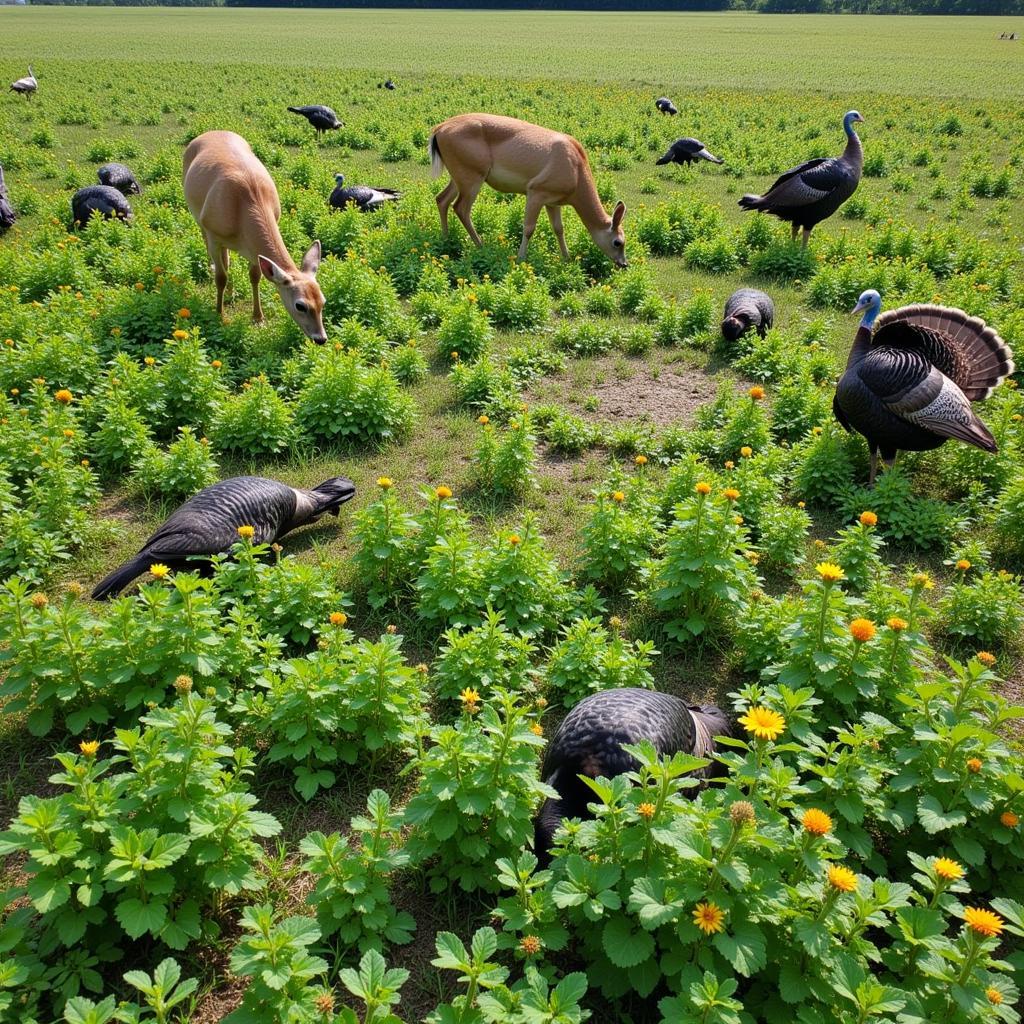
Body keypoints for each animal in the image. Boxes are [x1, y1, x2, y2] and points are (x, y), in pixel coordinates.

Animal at [184, 129, 325, 339]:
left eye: (322, 301)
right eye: (300, 305)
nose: (321, 338)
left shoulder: (253, 248)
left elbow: (255, 276)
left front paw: (258, 318)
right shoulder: (213, 233)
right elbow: (221, 277)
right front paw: (219, 314)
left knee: (227, 260)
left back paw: (231, 293)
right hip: (199, 217)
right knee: (213, 253)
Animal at [430, 114, 626, 270]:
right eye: (618, 242)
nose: (624, 263)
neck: (576, 172)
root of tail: (439, 129)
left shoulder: (553, 202)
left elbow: (559, 228)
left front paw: (567, 258)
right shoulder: (536, 191)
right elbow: (529, 228)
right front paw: (521, 258)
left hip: (459, 176)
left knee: (442, 199)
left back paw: (446, 238)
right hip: (472, 176)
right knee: (461, 208)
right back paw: (481, 246)